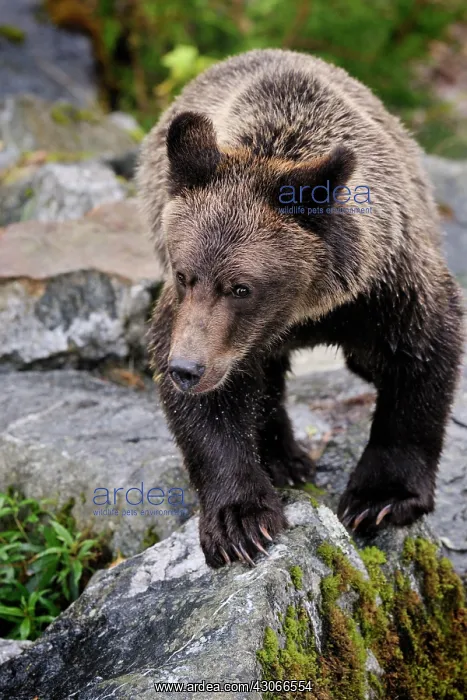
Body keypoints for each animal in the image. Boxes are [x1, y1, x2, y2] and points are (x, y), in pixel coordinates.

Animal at [138, 49, 464, 568]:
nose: (186, 369)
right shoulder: (196, 323)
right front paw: (240, 521)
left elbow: (421, 360)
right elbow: (213, 412)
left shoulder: (387, 289)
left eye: (241, 287)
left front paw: (380, 498)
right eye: (187, 274)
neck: (307, 310)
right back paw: (282, 459)